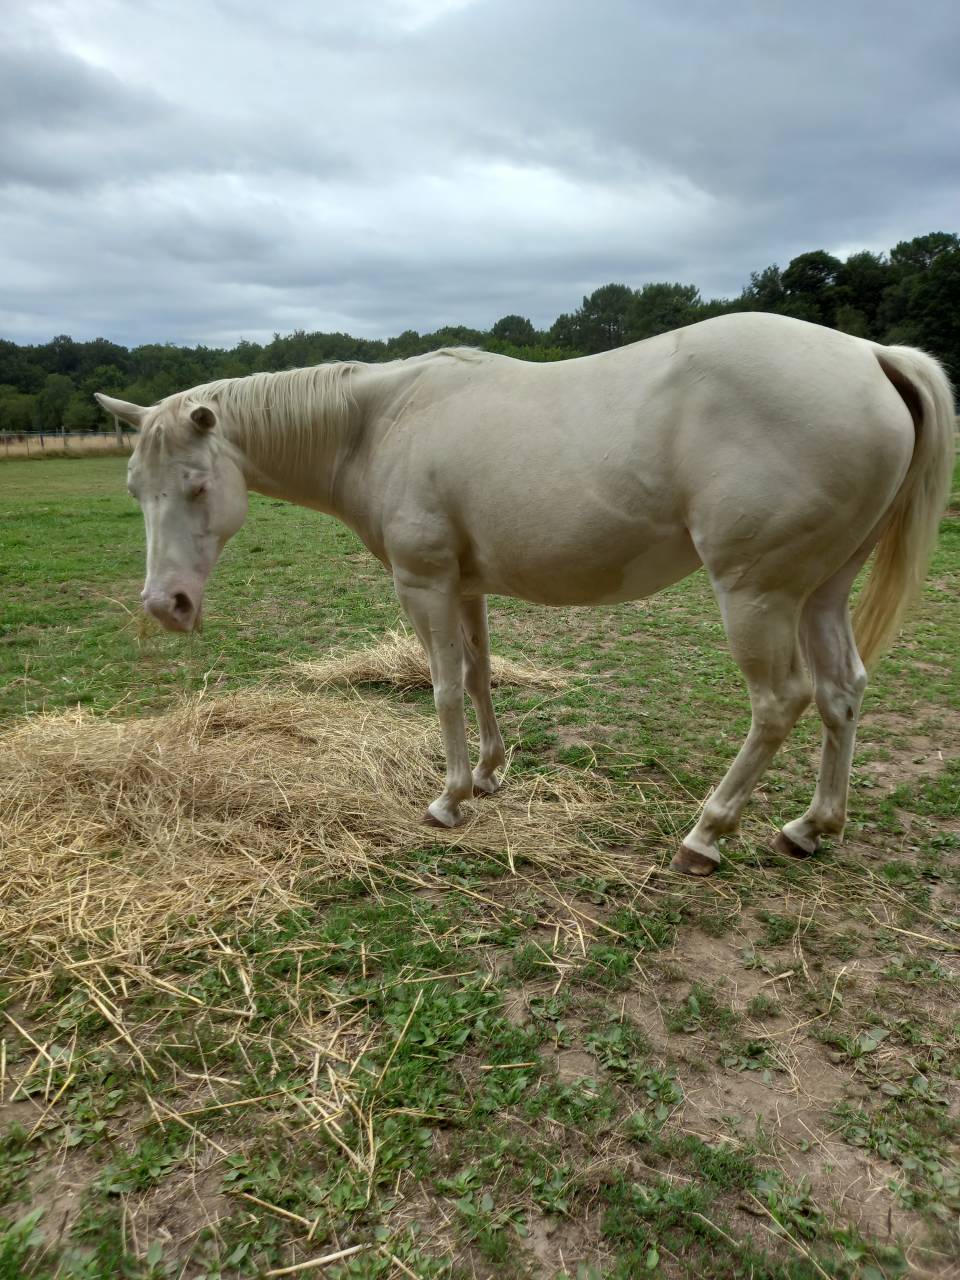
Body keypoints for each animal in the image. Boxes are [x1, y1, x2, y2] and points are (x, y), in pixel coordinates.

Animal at [96, 312, 955, 876]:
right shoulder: (466, 586)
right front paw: (488, 773)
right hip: (820, 592)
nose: (165, 606)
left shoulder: (424, 583)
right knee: (842, 693)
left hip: (757, 594)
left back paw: (706, 835)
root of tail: (872, 357)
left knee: (781, 703)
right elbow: (478, 677)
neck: (380, 423)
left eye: (196, 484)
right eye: (134, 487)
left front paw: (448, 800)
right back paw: (810, 826)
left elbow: (442, 687)